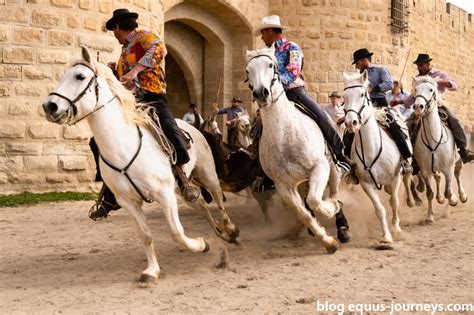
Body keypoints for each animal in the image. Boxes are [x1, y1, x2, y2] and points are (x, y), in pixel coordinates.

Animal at [42, 47, 239, 286]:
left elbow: (176, 232)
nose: (49, 106)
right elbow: (146, 235)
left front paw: (201, 244)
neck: (122, 147)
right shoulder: (128, 202)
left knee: (218, 201)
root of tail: (197, 127)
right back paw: (219, 233)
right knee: (202, 207)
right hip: (181, 191)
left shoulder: (164, 194)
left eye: (80, 76)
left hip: (207, 175)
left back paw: (230, 230)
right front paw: (152, 270)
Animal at [244, 47, 344, 254]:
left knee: (334, 191)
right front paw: (328, 242)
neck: (284, 135)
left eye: (271, 64)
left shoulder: (319, 167)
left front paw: (331, 209)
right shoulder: (284, 186)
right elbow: (304, 213)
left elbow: (315, 200)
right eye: (248, 70)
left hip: (333, 168)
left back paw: (341, 223)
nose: (261, 93)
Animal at [342, 71, 412, 244]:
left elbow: (394, 202)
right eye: (344, 97)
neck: (371, 149)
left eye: (362, 94)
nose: (351, 123)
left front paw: (396, 229)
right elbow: (379, 209)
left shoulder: (395, 177)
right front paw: (386, 236)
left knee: (407, 181)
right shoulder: (366, 184)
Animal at [412, 75, 466, 222]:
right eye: (415, 89)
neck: (433, 140)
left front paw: (453, 199)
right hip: (433, 169)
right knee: (437, 179)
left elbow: (448, 191)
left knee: (458, 174)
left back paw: (462, 196)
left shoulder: (448, 168)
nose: (418, 106)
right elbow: (429, 193)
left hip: (458, 161)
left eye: (431, 89)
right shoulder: (425, 171)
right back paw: (440, 199)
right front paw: (429, 216)